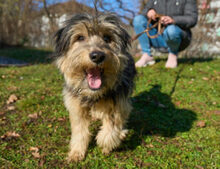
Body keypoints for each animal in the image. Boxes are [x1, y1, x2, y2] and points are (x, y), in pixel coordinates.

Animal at [53, 13, 136, 162]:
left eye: (107, 38)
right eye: (80, 37)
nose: (97, 56)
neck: (93, 93)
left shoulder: (120, 102)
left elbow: (114, 123)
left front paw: (106, 142)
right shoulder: (76, 107)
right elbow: (79, 130)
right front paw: (77, 151)